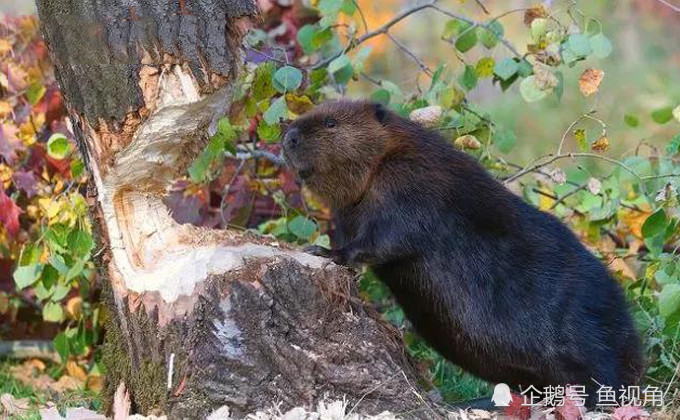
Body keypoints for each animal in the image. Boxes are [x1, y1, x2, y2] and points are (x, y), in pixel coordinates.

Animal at [282, 99, 644, 406]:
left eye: (331, 122)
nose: (288, 137)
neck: (388, 153)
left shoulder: (408, 182)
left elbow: (387, 237)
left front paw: (326, 251)